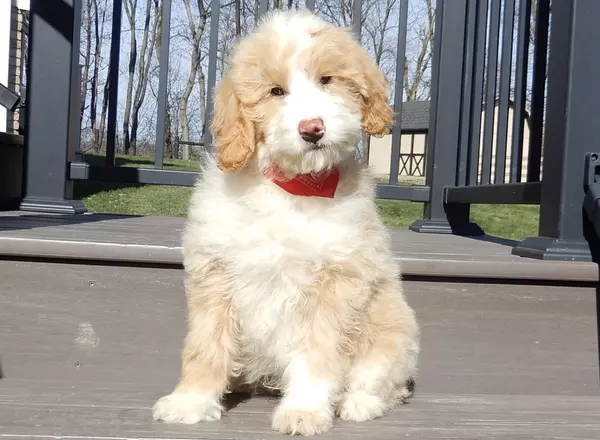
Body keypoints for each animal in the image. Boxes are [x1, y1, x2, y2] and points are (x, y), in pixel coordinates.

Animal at [152, 8, 420, 434]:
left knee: (386, 382)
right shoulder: (215, 272)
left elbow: (316, 353)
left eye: (327, 80)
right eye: (276, 92)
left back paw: (359, 402)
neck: (293, 187)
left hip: (392, 332)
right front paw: (191, 401)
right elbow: (206, 344)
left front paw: (305, 410)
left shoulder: (335, 282)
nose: (312, 128)